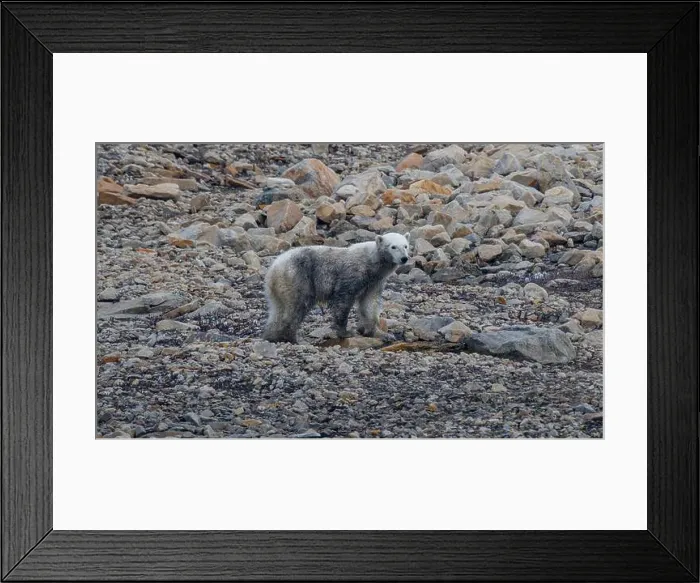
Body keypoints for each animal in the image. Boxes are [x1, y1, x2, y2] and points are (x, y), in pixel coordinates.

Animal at [262, 232, 411, 343]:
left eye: (406, 246)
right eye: (393, 247)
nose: (404, 258)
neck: (372, 262)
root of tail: (274, 268)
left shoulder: (375, 281)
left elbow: (369, 303)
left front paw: (381, 334)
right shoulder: (352, 273)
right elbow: (343, 299)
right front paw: (346, 332)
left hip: (278, 286)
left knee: (278, 308)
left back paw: (272, 335)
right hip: (298, 277)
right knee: (298, 305)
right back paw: (292, 338)